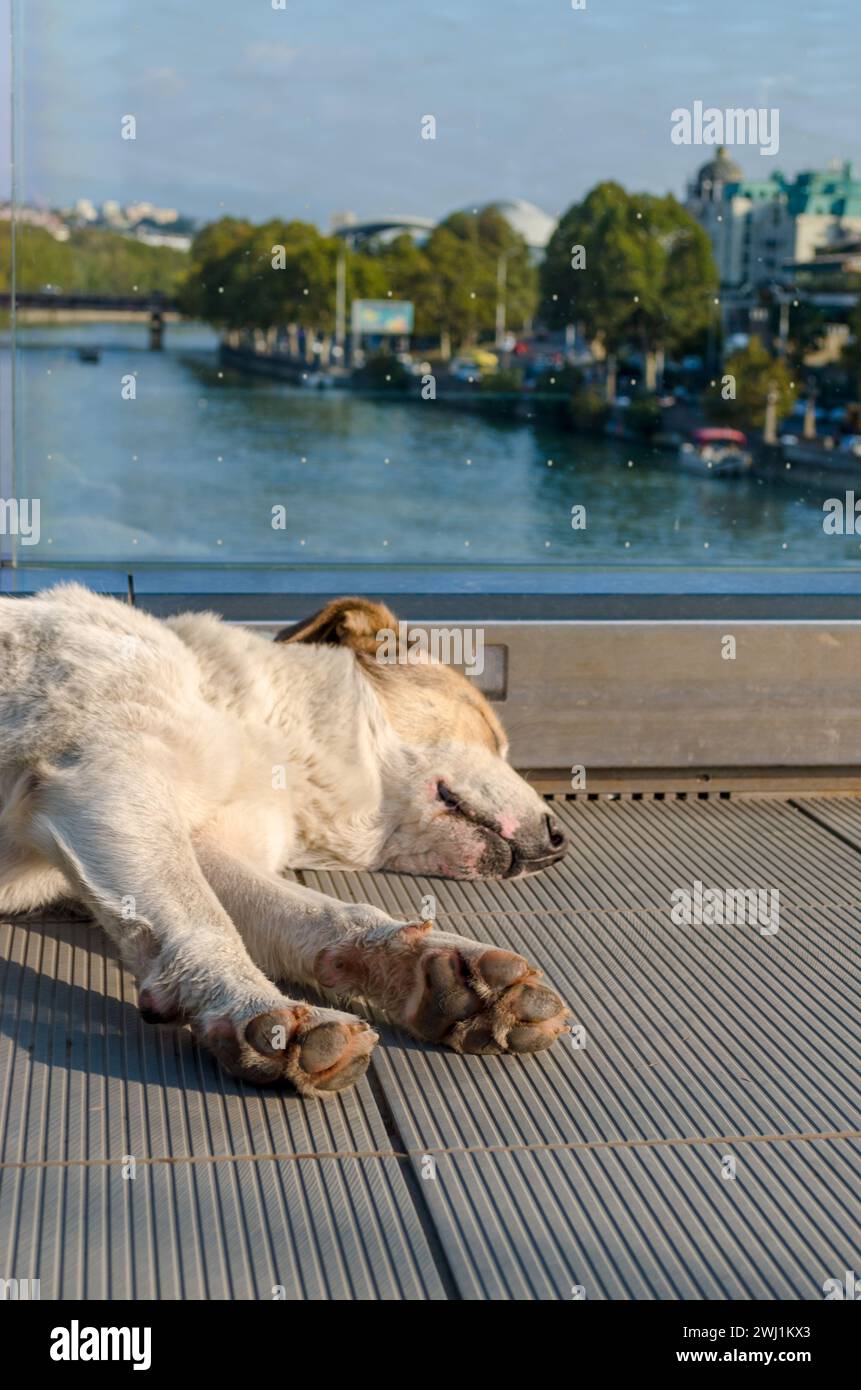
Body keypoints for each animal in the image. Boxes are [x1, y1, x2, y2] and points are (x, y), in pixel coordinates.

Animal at [0, 586, 573, 1095]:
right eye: (490, 734)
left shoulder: (192, 839)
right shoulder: (109, 780)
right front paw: (254, 1005)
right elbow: (204, 920)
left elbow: (323, 914)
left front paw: (440, 973)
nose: (560, 842)